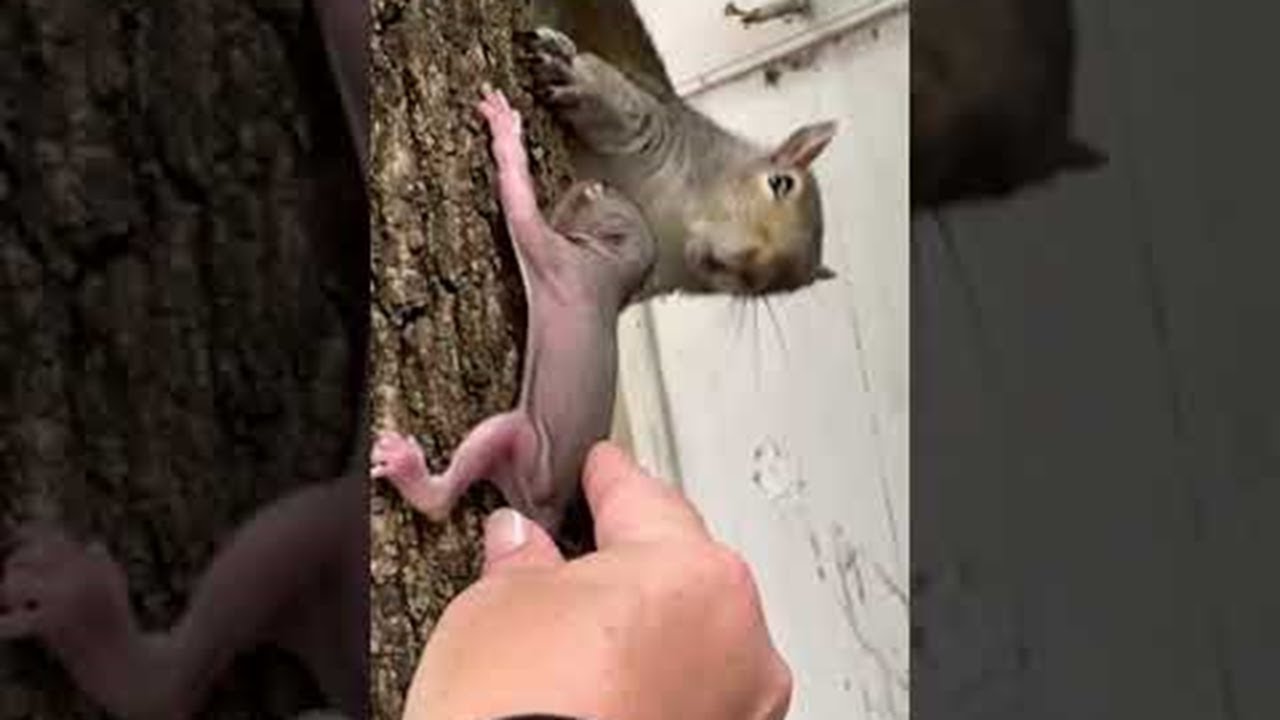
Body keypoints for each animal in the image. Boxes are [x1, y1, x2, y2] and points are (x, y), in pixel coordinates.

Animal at [520, 2, 839, 300]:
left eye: (784, 287)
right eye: (780, 182)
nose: (744, 266)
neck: (674, 223)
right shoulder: (656, 127)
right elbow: (627, 114)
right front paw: (577, 82)